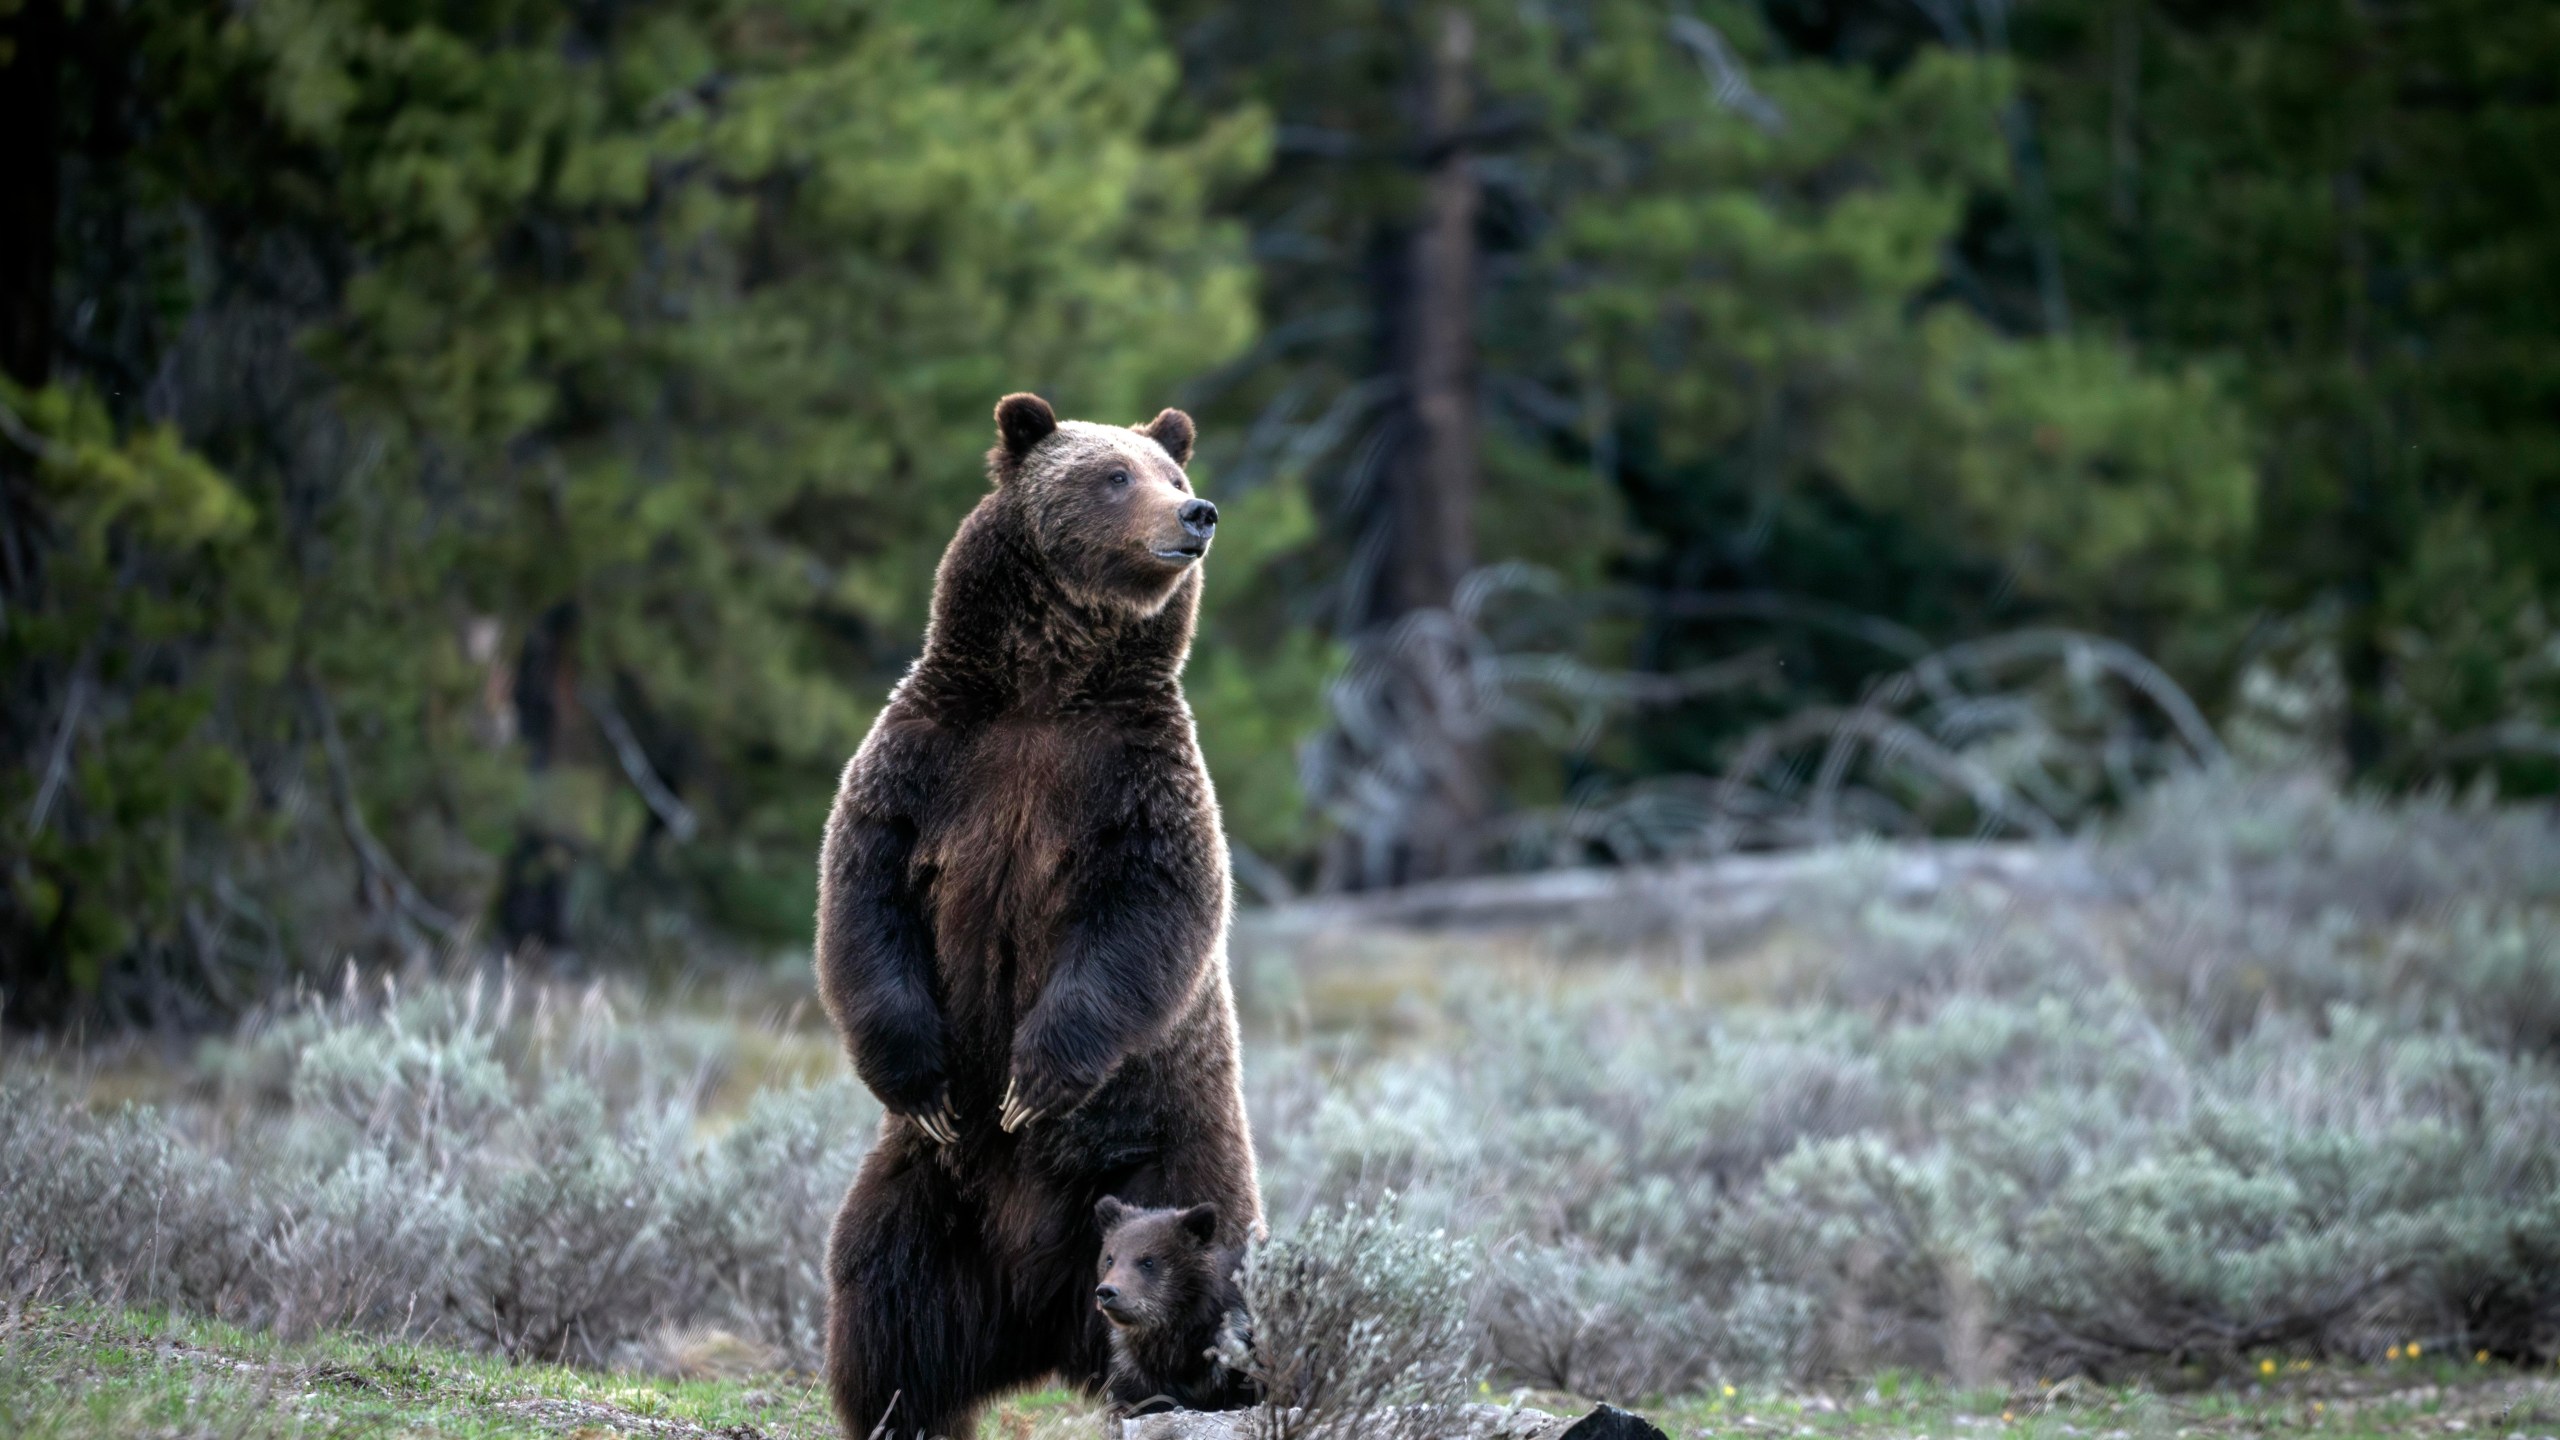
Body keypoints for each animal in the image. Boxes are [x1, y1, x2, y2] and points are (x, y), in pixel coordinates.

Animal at [819, 389, 1259, 1434]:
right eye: (1115, 474)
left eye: (1172, 472)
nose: (1198, 514)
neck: (1046, 686)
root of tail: (1039, 1315)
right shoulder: (930, 759)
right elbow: (865, 899)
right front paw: (924, 1080)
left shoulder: (1136, 782)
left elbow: (1146, 918)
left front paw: (1033, 1078)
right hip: (929, 1195)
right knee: (885, 1297)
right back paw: (897, 1410)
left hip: (1166, 1166)